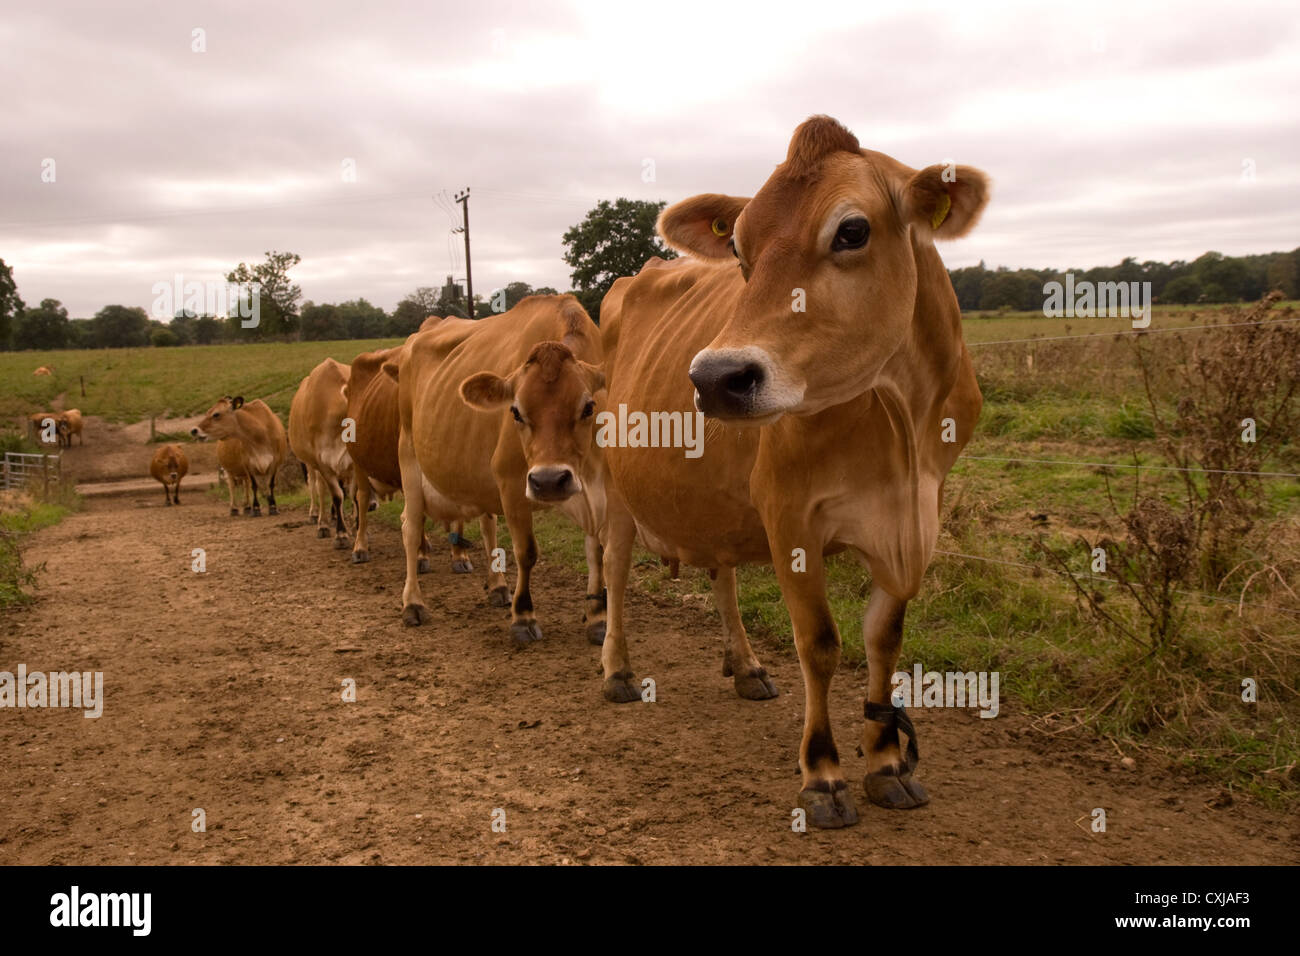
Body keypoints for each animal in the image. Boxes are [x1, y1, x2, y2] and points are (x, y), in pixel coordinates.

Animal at [289, 358, 356, 548]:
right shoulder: (322, 462)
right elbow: (336, 495)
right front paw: (341, 534)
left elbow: (353, 494)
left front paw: (356, 527)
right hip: (310, 463)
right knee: (316, 486)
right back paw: (321, 521)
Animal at [392, 295, 605, 647]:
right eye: (515, 411)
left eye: (588, 407)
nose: (548, 481)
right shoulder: (511, 481)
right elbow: (526, 551)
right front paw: (524, 616)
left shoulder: (598, 485)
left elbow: (597, 548)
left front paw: (598, 617)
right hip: (409, 456)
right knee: (410, 529)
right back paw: (413, 603)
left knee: (487, 525)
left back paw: (498, 585)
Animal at [595, 115, 982, 827]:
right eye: (739, 248)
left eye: (852, 230)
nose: (714, 378)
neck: (900, 420)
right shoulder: (789, 514)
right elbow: (820, 642)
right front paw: (823, 775)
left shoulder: (916, 515)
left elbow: (885, 638)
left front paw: (887, 762)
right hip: (612, 482)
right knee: (613, 569)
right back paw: (617, 671)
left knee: (720, 571)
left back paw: (745, 665)